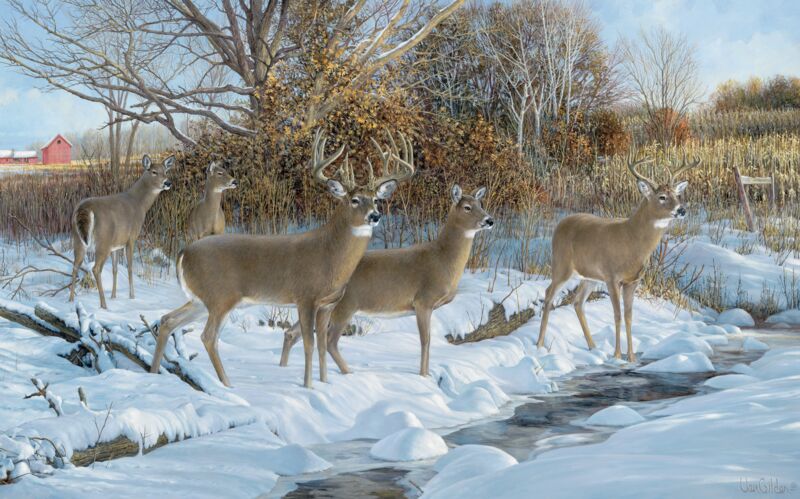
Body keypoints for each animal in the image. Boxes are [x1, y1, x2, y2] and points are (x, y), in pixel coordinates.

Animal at [69, 155, 175, 309]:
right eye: (154, 172)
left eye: (166, 171)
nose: (168, 182)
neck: (140, 204)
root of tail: (85, 209)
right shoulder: (131, 238)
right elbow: (129, 267)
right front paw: (132, 296)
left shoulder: (116, 244)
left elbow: (115, 269)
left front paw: (114, 296)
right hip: (103, 241)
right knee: (96, 269)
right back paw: (103, 305)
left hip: (78, 240)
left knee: (75, 266)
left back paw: (70, 300)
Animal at [149, 129, 415, 388]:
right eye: (354, 200)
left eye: (376, 199)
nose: (375, 216)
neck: (330, 255)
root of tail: (183, 253)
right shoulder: (305, 297)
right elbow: (308, 344)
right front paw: (309, 387)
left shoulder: (327, 304)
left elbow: (322, 345)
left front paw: (326, 383)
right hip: (220, 296)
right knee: (208, 336)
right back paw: (227, 386)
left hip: (200, 300)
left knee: (167, 320)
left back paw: (155, 372)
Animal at [279, 184, 494, 379]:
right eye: (467, 207)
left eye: (481, 204)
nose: (489, 220)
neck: (442, 259)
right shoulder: (423, 300)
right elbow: (425, 340)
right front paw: (424, 375)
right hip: (345, 305)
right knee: (330, 340)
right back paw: (348, 372)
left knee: (292, 333)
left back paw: (283, 367)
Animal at [536, 154, 701, 362]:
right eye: (662, 197)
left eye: (677, 195)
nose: (681, 210)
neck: (632, 240)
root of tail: (560, 224)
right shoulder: (612, 276)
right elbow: (617, 315)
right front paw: (616, 355)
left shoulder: (633, 281)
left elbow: (629, 316)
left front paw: (631, 357)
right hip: (561, 265)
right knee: (549, 294)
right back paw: (539, 345)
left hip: (589, 277)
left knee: (578, 302)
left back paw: (593, 347)